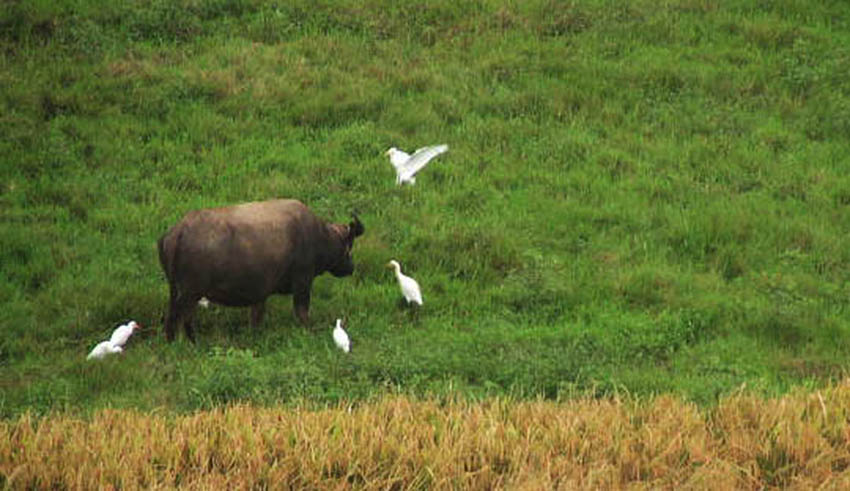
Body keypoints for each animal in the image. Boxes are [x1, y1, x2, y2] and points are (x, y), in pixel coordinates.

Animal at [157, 199, 362, 342]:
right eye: (349, 244)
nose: (351, 267)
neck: (318, 237)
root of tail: (178, 232)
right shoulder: (303, 282)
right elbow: (302, 311)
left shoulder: (259, 293)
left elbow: (256, 317)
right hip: (191, 293)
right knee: (182, 318)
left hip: (177, 291)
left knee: (173, 317)